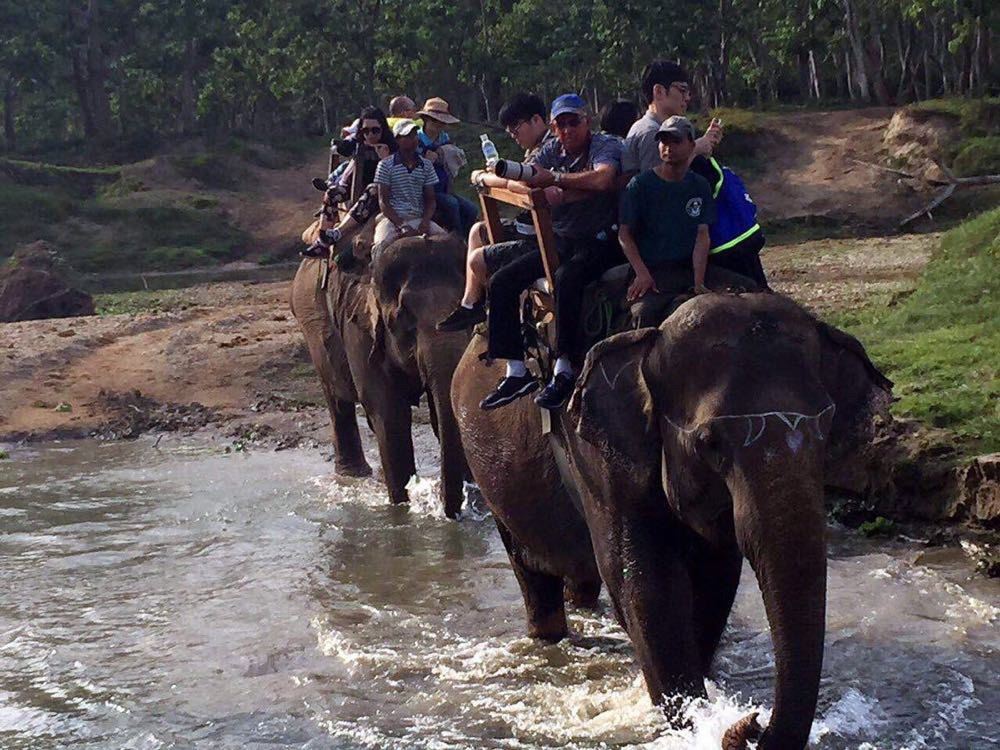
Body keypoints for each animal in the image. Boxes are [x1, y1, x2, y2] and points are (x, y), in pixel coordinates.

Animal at [292, 238, 472, 520]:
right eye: (403, 316)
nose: (449, 513)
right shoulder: (358, 329)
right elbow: (390, 413)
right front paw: (401, 510)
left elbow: (439, 410)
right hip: (311, 322)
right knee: (338, 400)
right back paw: (353, 475)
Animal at [454, 292, 892, 750]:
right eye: (710, 443)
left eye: (827, 429)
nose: (754, 722)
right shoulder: (596, 456)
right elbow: (646, 586)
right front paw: (693, 716)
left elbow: (716, 580)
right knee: (533, 574)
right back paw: (548, 637)